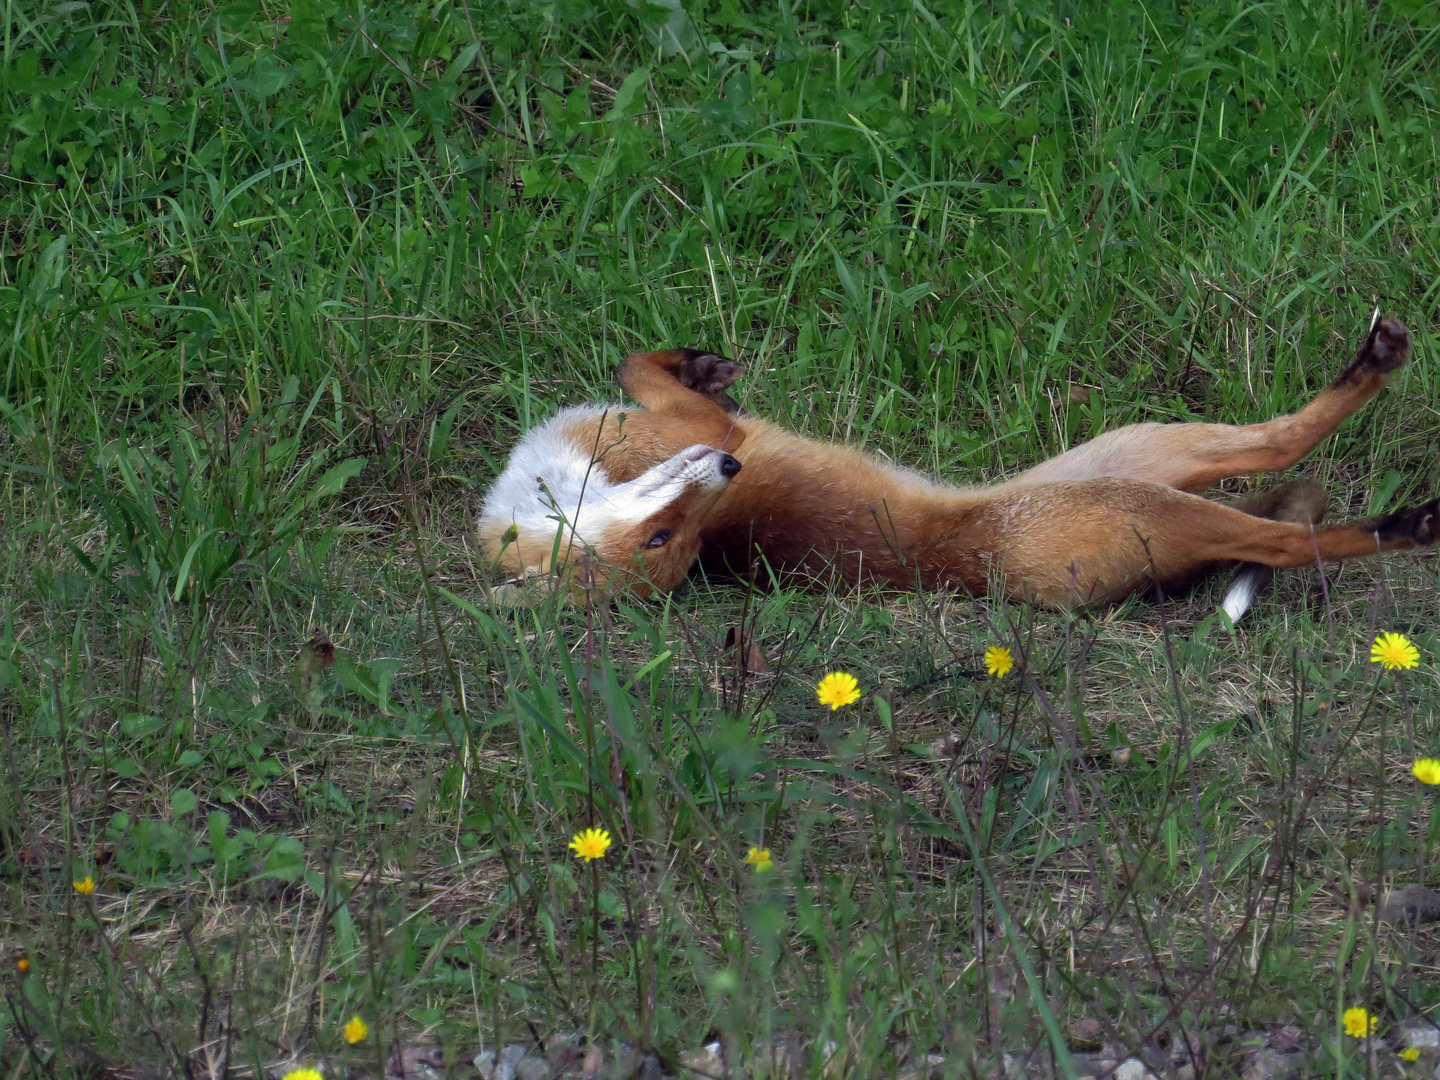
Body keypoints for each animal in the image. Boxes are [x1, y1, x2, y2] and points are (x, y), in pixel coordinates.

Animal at [480, 316, 1428, 616]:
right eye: (665, 542)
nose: (726, 473)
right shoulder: (691, 429)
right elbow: (649, 378)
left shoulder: (683, 424)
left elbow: (636, 363)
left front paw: (699, 359)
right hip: (1140, 489)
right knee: (1282, 531)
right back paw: (1409, 521)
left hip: (1155, 441)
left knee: (1280, 442)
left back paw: (1377, 358)